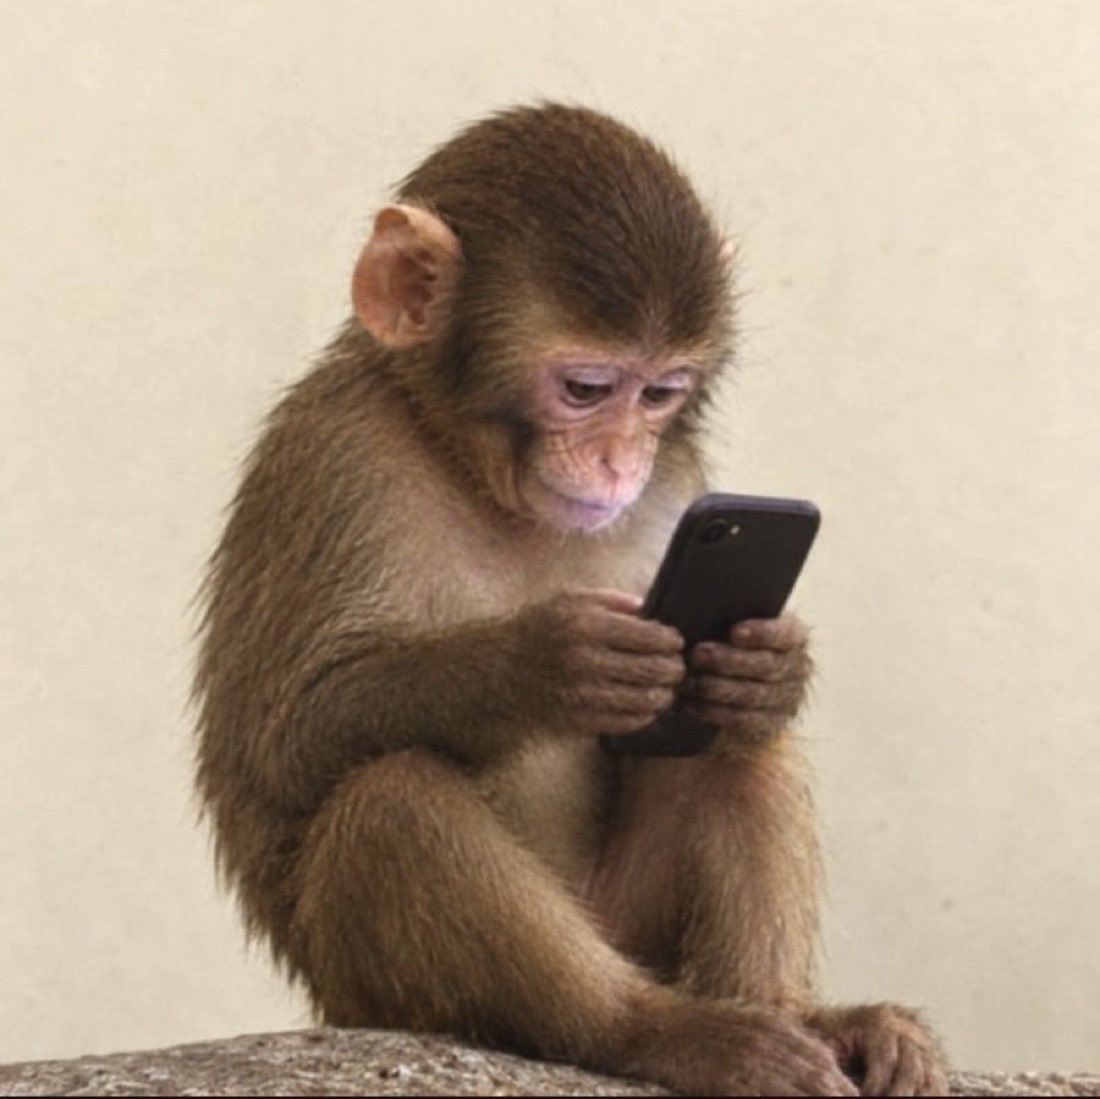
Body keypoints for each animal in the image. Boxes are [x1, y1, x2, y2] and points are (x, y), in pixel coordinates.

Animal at [193, 103, 948, 1097]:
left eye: (661, 393)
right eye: (587, 389)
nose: (621, 460)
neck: (473, 467)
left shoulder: (680, 484)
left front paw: (773, 664)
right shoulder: (335, 455)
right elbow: (283, 740)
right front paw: (548, 660)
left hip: (632, 919)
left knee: (733, 740)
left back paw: (798, 1013)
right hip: (374, 991)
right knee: (393, 798)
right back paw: (652, 1029)